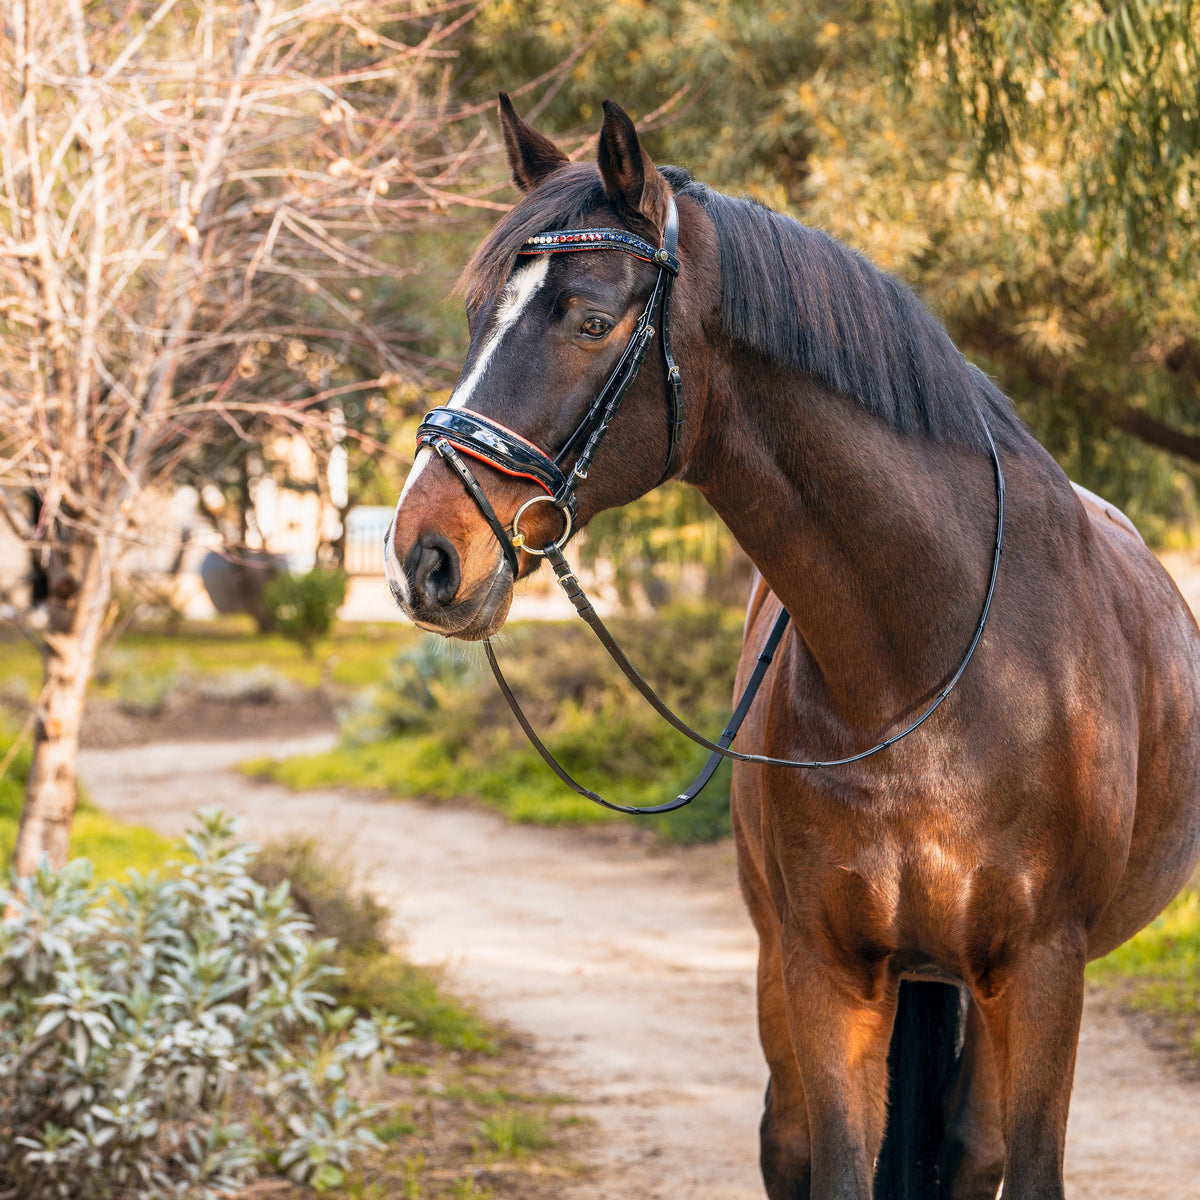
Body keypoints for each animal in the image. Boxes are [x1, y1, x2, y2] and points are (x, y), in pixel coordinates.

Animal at [381, 96, 1200, 1200]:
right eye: (477, 319)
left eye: (591, 321)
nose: (422, 556)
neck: (931, 666)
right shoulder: (824, 967)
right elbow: (840, 1166)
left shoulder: (1043, 971)